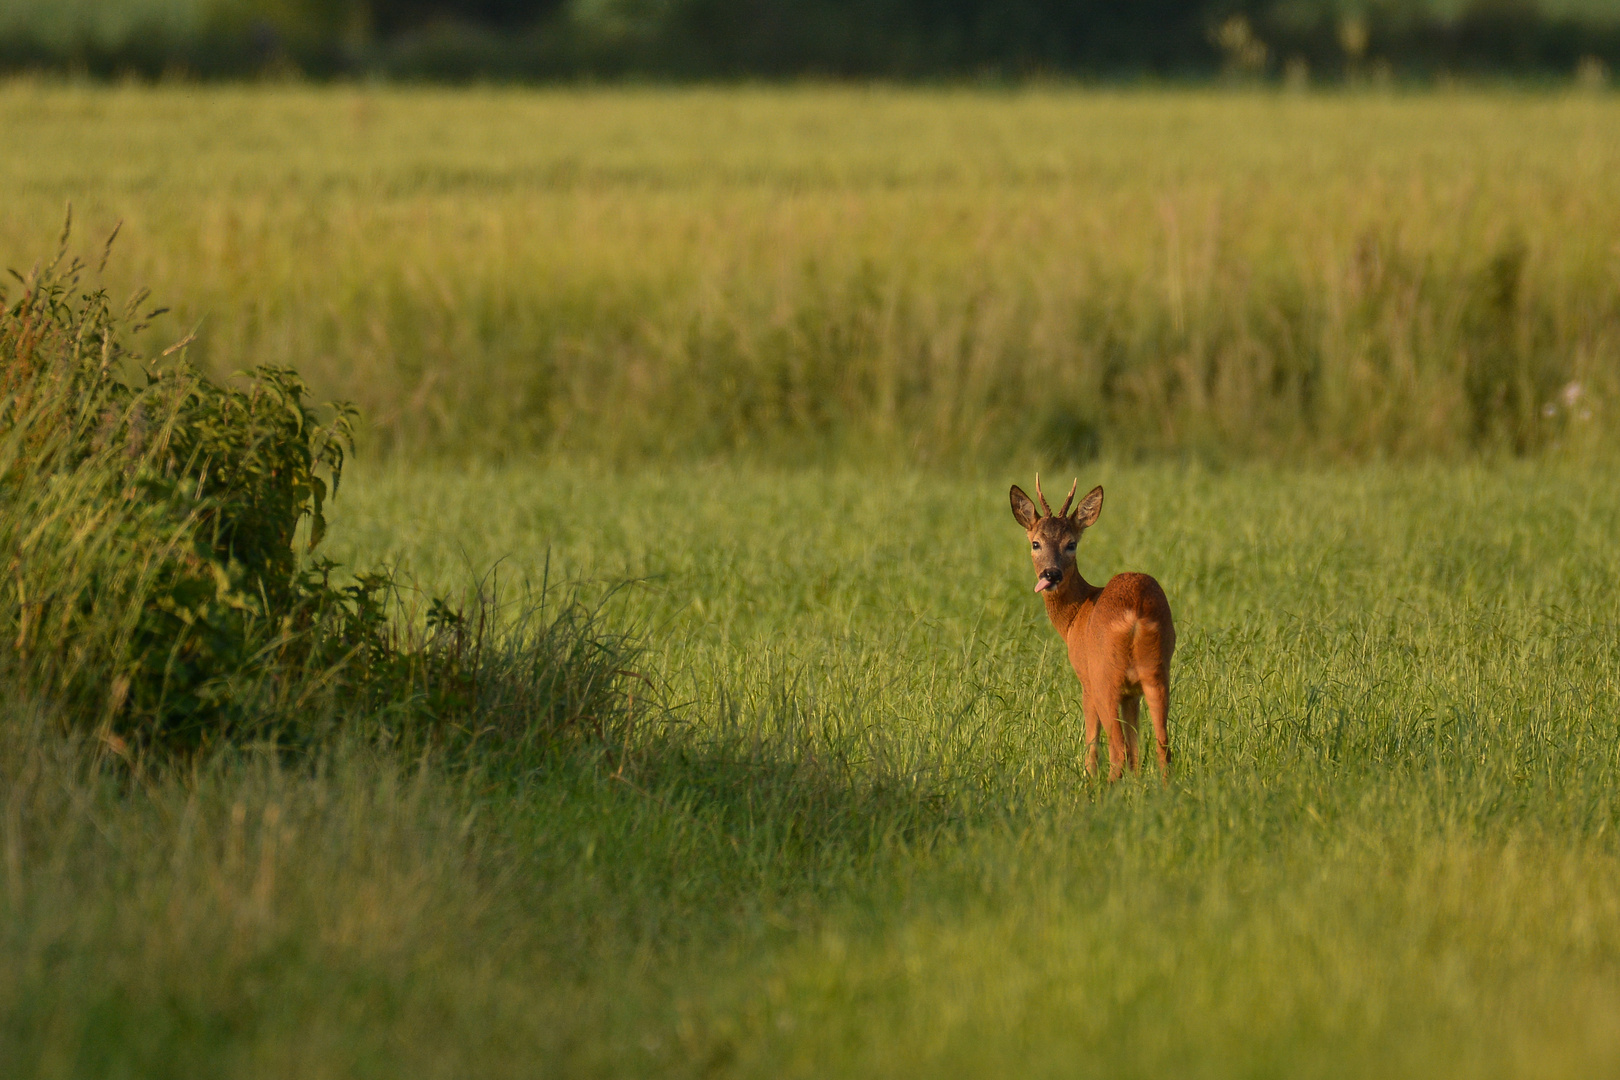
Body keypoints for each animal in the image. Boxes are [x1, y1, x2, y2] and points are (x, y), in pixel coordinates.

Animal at [1004, 476, 1172, 780]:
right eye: (1036, 543)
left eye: (1071, 544)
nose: (1051, 573)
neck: (1075, 616)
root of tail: (1136, 612)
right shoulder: (1132, 694)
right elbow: (1136, 749)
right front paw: (1136, 784)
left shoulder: (1086, 679)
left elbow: (1092, 743)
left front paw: (1089, 777)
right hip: (1157, 672)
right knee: (1161, 746)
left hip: (1105, 677)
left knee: (1117, 749)